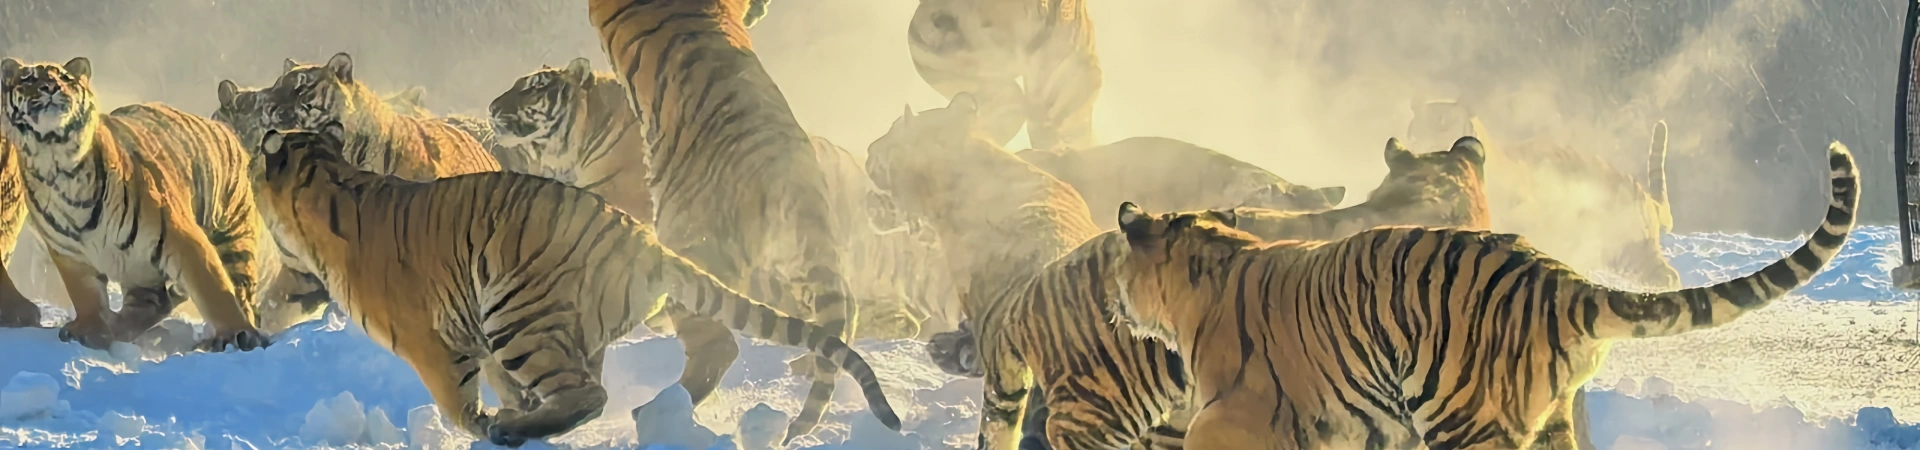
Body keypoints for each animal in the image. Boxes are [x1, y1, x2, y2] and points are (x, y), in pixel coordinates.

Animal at [2, 57, 274, 351]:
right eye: (29, 79)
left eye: (65, 78)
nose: (51, 87)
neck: (56, 162)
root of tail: (226, 130)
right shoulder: (69, 253)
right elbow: (84, 294)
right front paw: (91, 331)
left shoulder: (183, 237)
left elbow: (215, 291)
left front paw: (237, 334)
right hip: (139, 269)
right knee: (153, 302)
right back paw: (116, 326)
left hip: (232, 237)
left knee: (241, 293)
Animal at [249, 123, 900, 447]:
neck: (326, 179)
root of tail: (640, 236)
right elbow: (501, 386)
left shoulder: (434, 342)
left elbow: (459, 405)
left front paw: (484, 425)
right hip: (560, 326)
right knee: (584, 390)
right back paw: (529, 422)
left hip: (517, 311)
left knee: (589, 394)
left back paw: (513, 430)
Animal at [589, 0, 870, 442]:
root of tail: (793, 176)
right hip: (792, 264)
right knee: (838, 313)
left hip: (691, 257)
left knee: (719, 347)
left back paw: (654, 413)